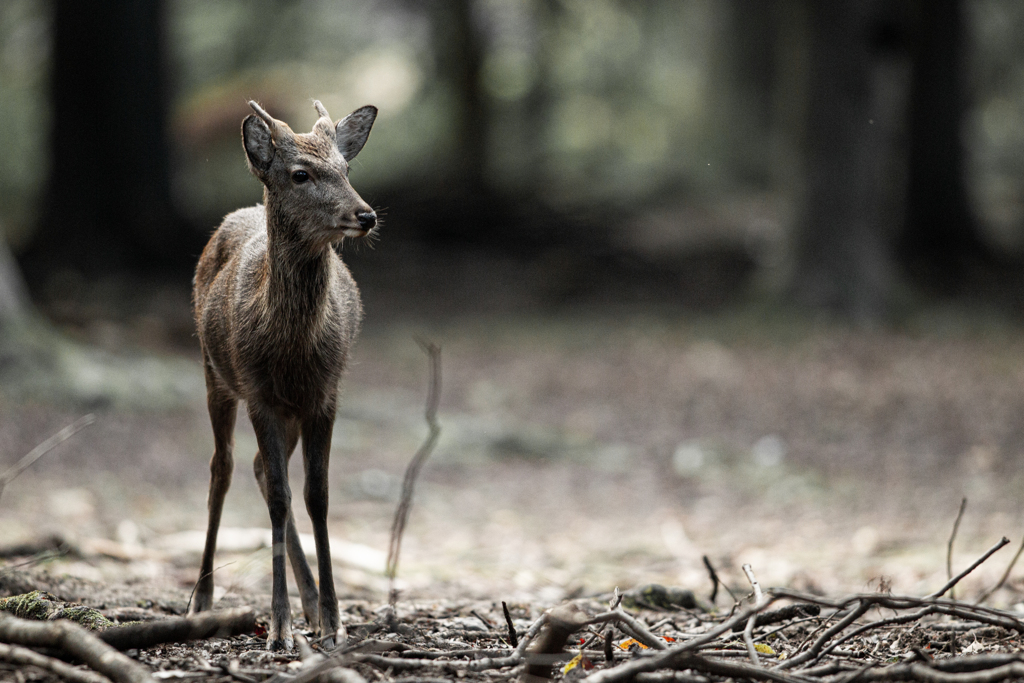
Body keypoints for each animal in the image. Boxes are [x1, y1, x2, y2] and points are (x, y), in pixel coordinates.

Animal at [190, 97, 378, 651]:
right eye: (300, 173)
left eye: (345, 169)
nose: (366, 214)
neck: (293, 347)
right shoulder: (259, 394)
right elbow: (279, 496)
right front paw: (278, 627)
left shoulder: (326, 394)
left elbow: (317, 495)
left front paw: (333, 618)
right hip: (214, 370)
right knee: (224, 468)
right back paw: (201, 597)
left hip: (289, 409)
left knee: (256, 467)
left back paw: (312, 604)